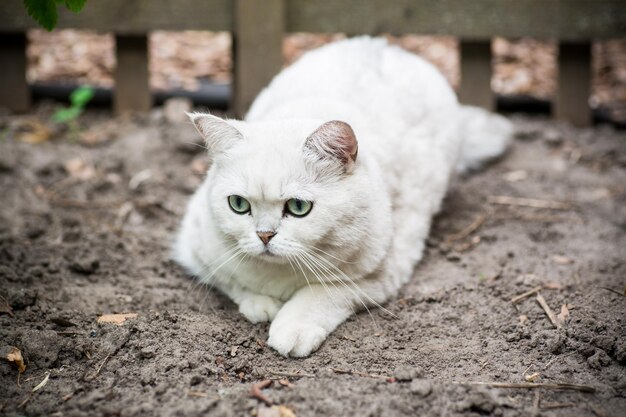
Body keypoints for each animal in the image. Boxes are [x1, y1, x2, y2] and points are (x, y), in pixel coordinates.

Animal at [172, 37, 512, 356]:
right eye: (239, 205)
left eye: (298, 207)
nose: (264, 235)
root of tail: (388, 47)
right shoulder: (195, 247)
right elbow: (233, 282)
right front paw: (261, 305)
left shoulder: (382, 271)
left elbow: (324, 292)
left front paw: (291, 327)